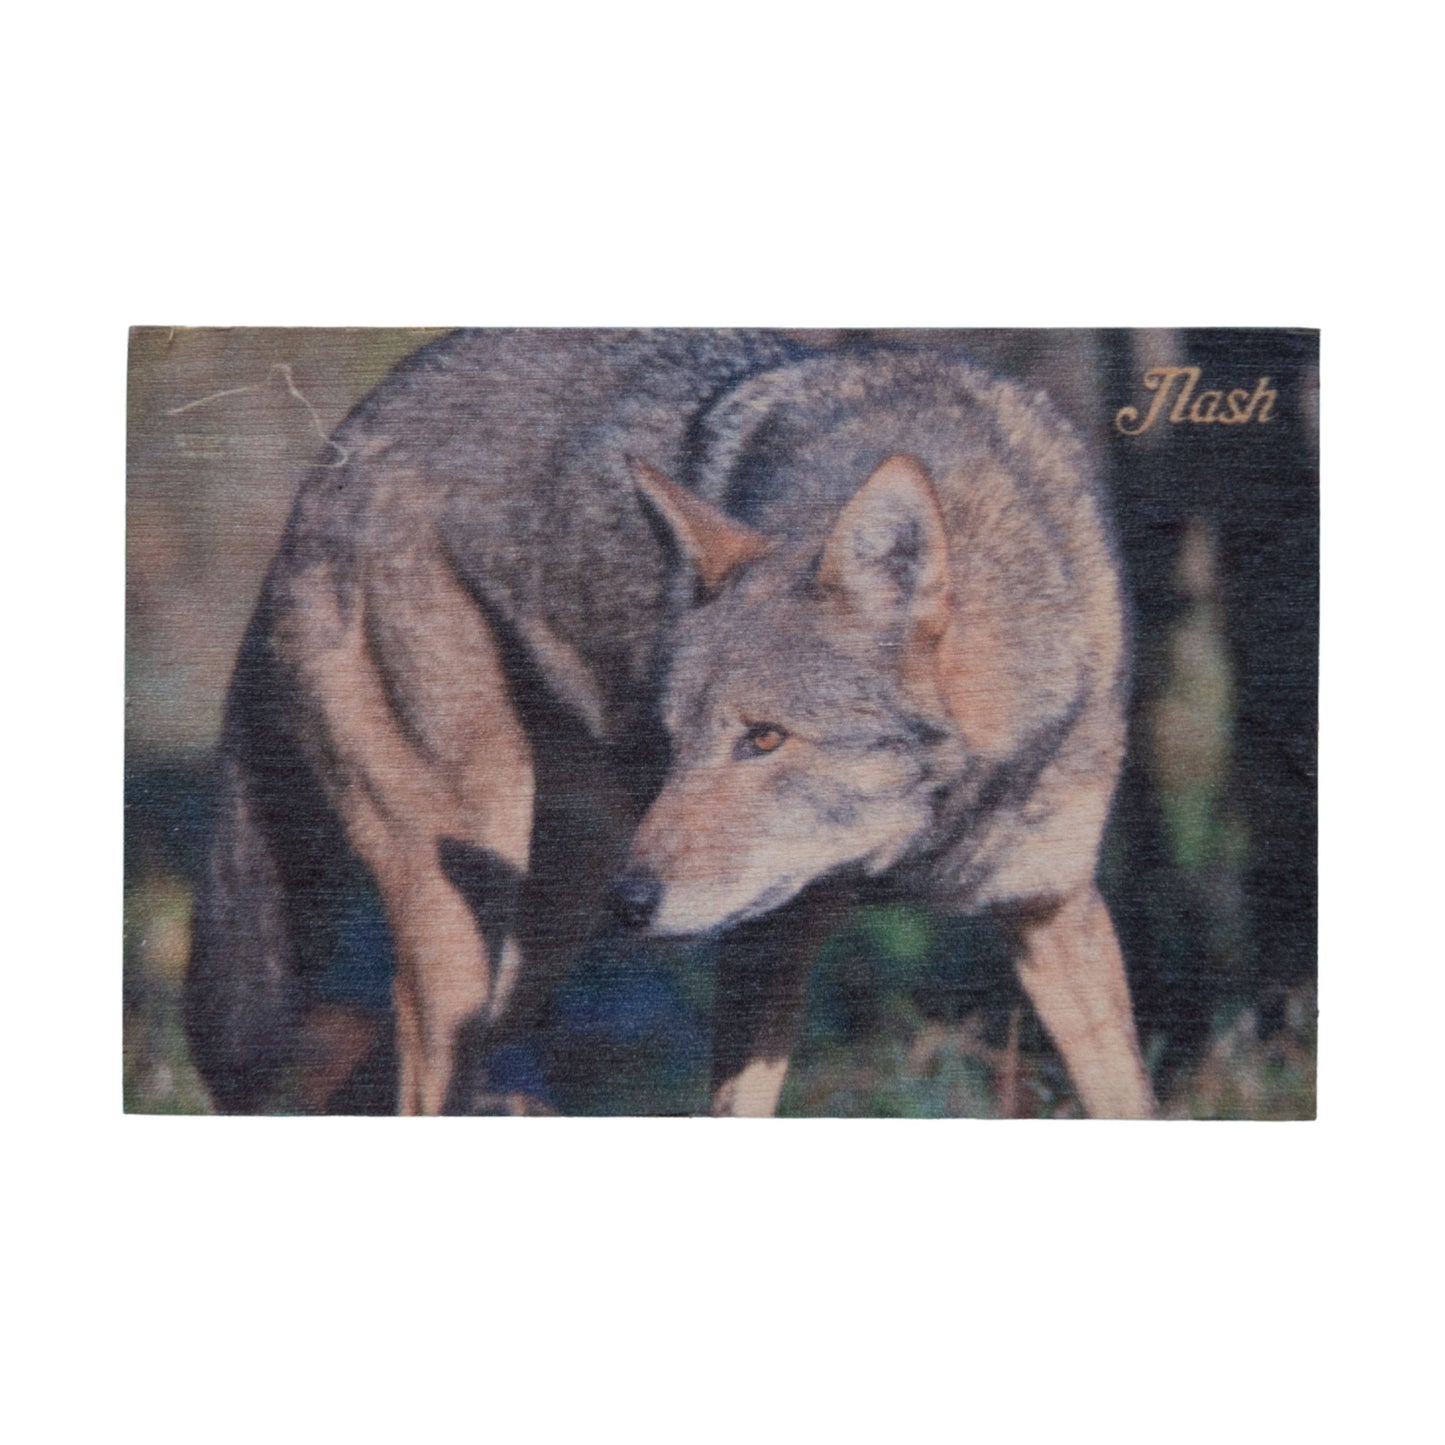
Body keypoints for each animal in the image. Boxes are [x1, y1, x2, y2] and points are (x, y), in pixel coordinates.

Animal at [185, 329, 1156, 1118]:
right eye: (675, 740)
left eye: (762, 737)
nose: (633, 901)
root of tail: (335, 452)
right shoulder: (766, 944)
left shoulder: (1055, 908)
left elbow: (1128, 1100)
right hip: (464, 921)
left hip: (536, 943)